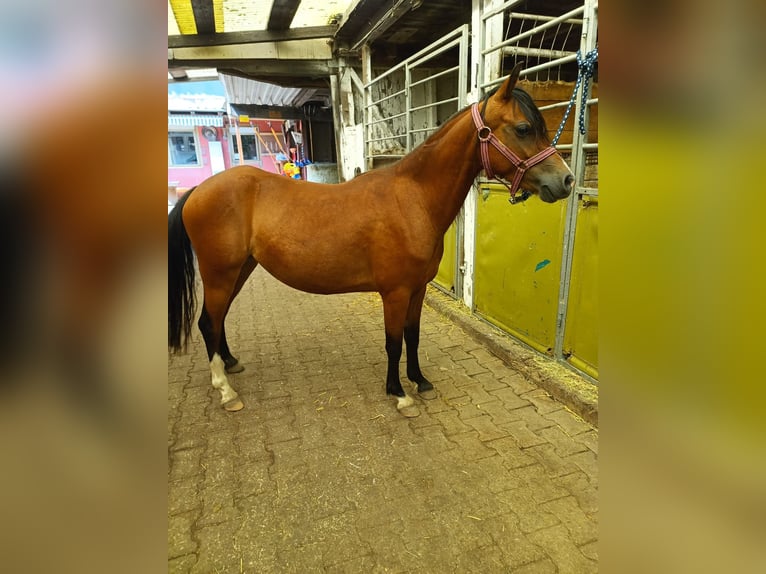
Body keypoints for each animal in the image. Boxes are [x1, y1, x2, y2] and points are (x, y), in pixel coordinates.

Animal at [170, 66, 576, 418]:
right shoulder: (395, 292)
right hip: (220, 273)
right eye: (524, 128)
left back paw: (230, 365)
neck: (413, 199)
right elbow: (393, 341)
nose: (567, 181)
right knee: (208, 322)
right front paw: (399, 394)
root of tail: (197, 191)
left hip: (240, 270)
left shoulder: (417, 290)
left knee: (218, 319)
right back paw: (225, 390)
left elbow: (412, 336)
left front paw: (419, 381)